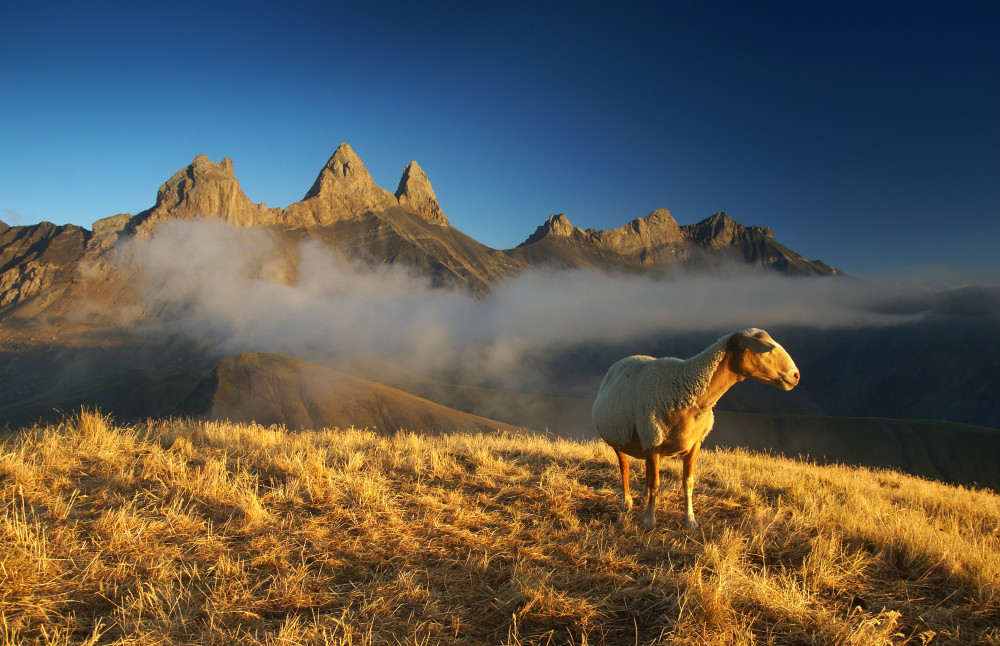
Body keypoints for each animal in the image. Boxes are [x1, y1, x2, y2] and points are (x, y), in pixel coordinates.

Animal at [592, 330, 796, 532]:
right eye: (766, 350)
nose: (796, 375)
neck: (685, 387)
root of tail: (623, 360)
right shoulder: (652, 441)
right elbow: (654, 484)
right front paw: (650, 520)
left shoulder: (694, 443)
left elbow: (688, 482)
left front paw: (690, 520)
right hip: (618, 437)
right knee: (625, 468)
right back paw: (626, 501)